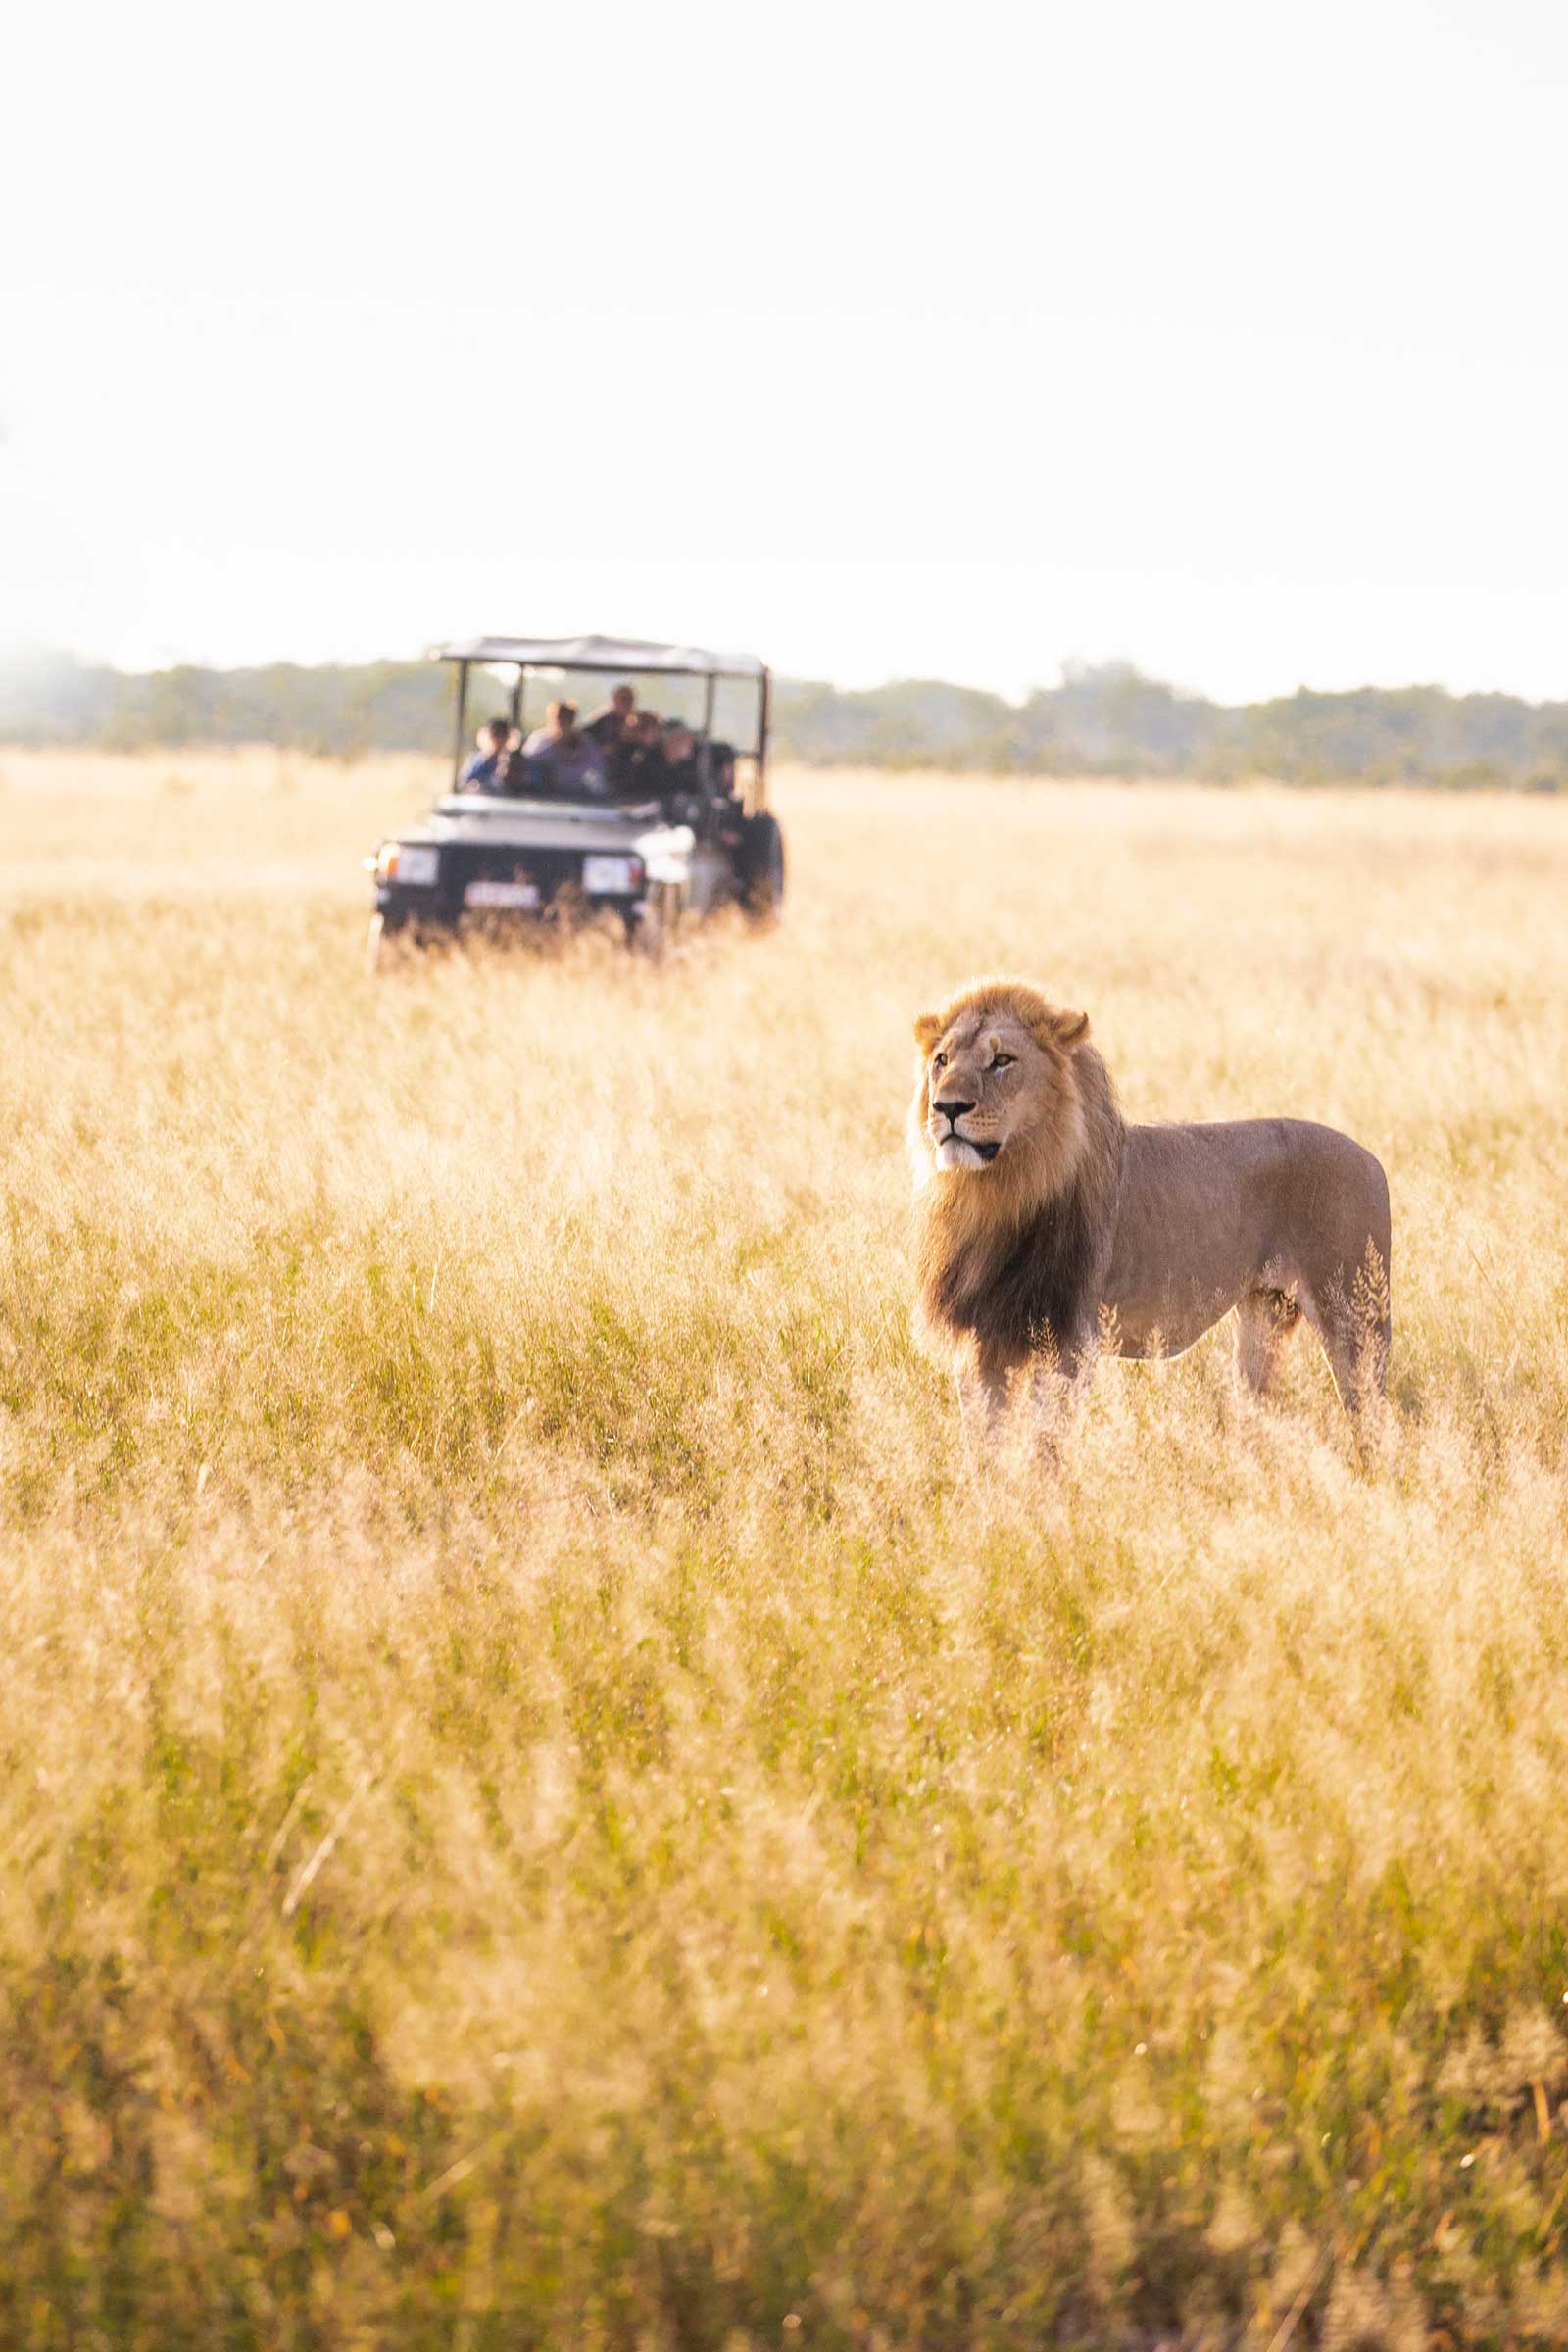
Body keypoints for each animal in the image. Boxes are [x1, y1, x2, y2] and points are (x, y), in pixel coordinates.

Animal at [909, 977, 1391, 1438]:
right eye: (942, 1061)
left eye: (1002, 1060)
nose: (947, 1107)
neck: (998, 1194)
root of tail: (1372, 1158)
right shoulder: (980, 1343)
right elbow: (985, 1447)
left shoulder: (1067, 1342)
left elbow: (1046, 1447)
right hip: (1264, 1316)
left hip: (1356, 1323)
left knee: (1376, 1425)